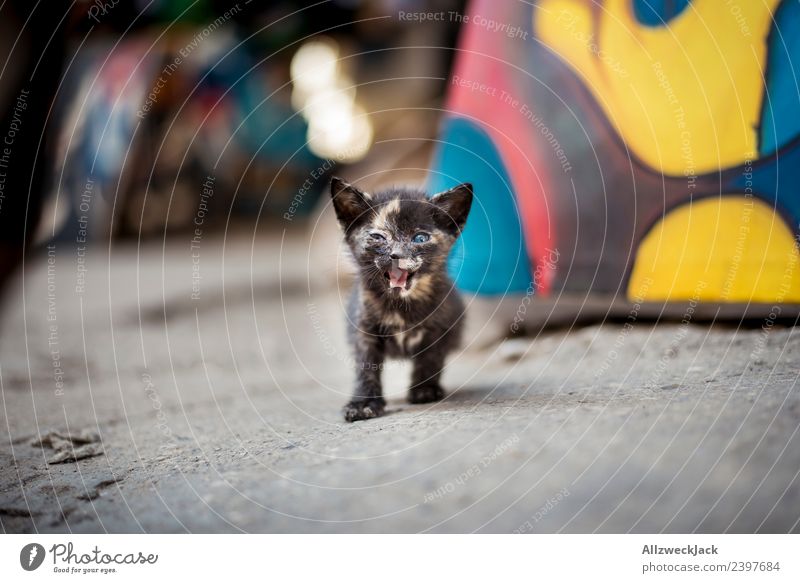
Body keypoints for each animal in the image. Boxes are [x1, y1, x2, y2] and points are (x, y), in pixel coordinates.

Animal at [328, 176, 472, 422]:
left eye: (420, 238)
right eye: (377, 237)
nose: (396, 255)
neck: (400, 305)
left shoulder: (441, 326)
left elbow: (431, 358)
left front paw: (424, 389)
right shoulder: (363, 328)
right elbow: (366, 366)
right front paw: (363, 403)